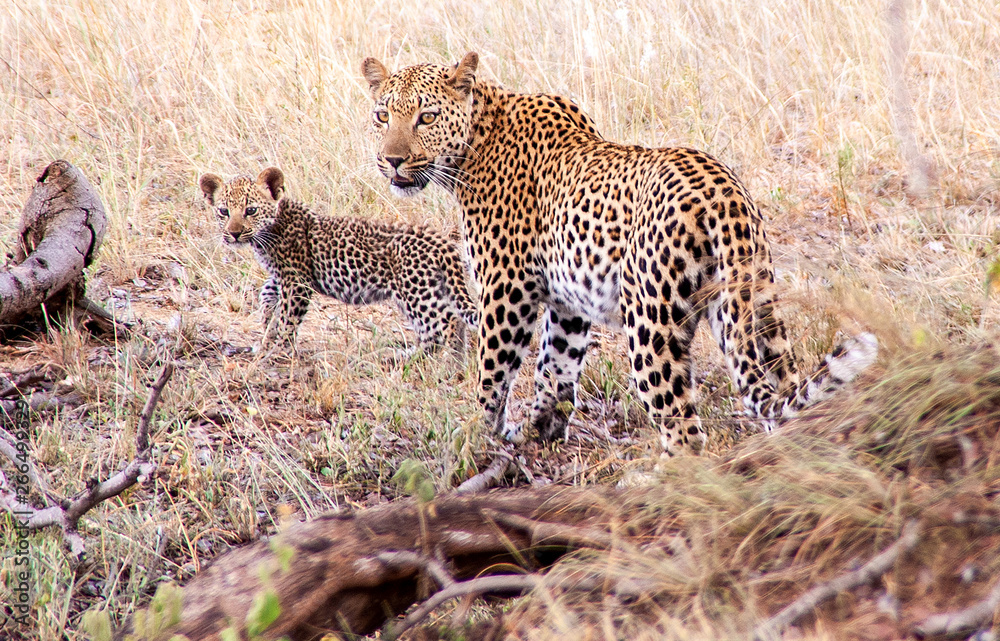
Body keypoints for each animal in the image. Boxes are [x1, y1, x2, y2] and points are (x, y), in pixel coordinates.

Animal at [362, 53, 876, 456]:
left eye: (427, 117)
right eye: (382, 116)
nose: (392, 161)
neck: (475, 142)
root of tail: (722, 192)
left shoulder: (508, 291)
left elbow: (493, 373)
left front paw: (475, 437)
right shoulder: (567, 301)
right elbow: (556, 366)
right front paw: (540, 429)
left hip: (652, 323)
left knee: (684, 431)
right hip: (755, 306)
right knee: (783, 393)